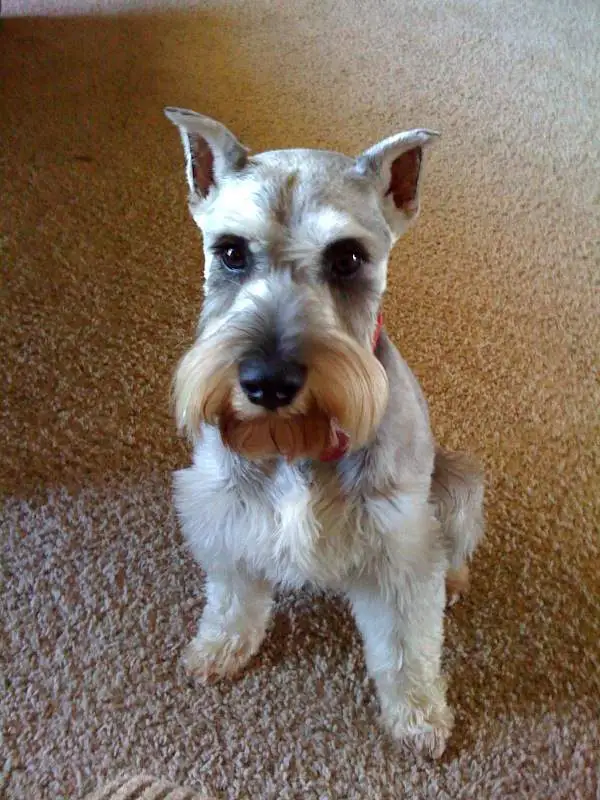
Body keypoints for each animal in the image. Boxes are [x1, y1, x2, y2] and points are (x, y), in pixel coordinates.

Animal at [163, 106, 482, 756]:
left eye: (348, 259)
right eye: (230, 251)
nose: (267, 383)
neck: (296, 445)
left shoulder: (400, 546)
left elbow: (408, 644)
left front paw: (417, 715)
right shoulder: (224, 510)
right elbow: (232, 595)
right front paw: (220, 646)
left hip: (458, 483)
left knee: (454, 548)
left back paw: (457, 577)